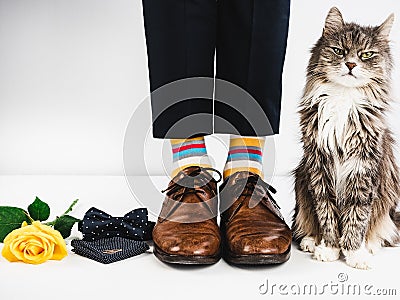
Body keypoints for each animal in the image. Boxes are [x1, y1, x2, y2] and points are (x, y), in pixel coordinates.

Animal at [292, 7, 398, 270]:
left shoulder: (363, 168)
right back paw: (311, 241)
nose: (350, 64)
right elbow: (326, 213)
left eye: (366, 54)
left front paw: (354, 253)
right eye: (339, 50)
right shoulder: (318, 167)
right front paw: (329, 248)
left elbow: (357, 217)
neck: (343, 97)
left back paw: (370, 246)